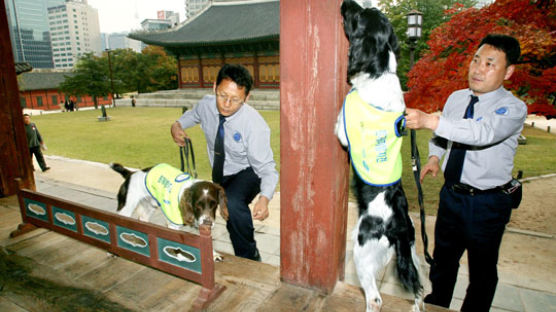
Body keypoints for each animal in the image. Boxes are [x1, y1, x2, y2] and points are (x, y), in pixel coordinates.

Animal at [336, 1, 424, 310]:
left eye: (360, 15)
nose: (346, 3)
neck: (380, 70)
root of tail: (399, 221)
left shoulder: (342, 131)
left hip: (362, 251)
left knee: (374, 298)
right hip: (406, 255)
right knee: (419, 293)